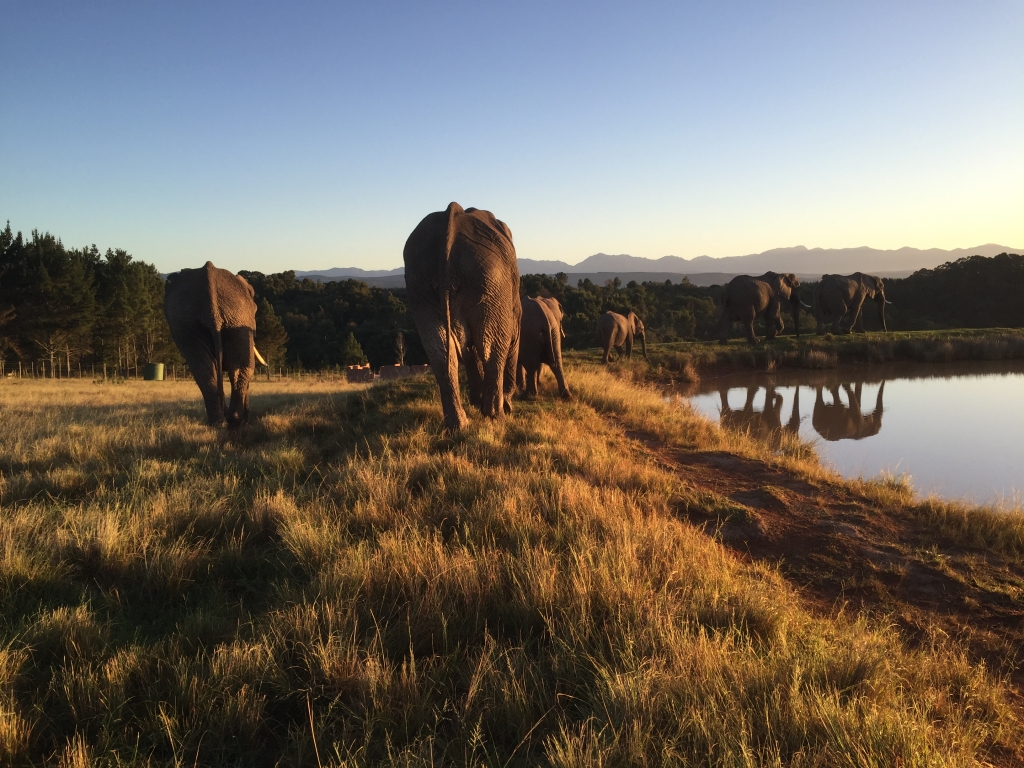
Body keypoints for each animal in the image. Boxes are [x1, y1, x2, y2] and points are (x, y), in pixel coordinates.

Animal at [163, 259, 268, 428]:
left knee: (203, 369)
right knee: (238, 369)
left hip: (189, 323)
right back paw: (234, 421)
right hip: (235, 316)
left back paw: (220, 422)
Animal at [403, 202, 524, 434]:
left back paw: (459, 425)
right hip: (490, 282)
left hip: (419, 287)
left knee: (440, 351)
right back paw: (496, 417)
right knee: (493, 348)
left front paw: (477, 403)